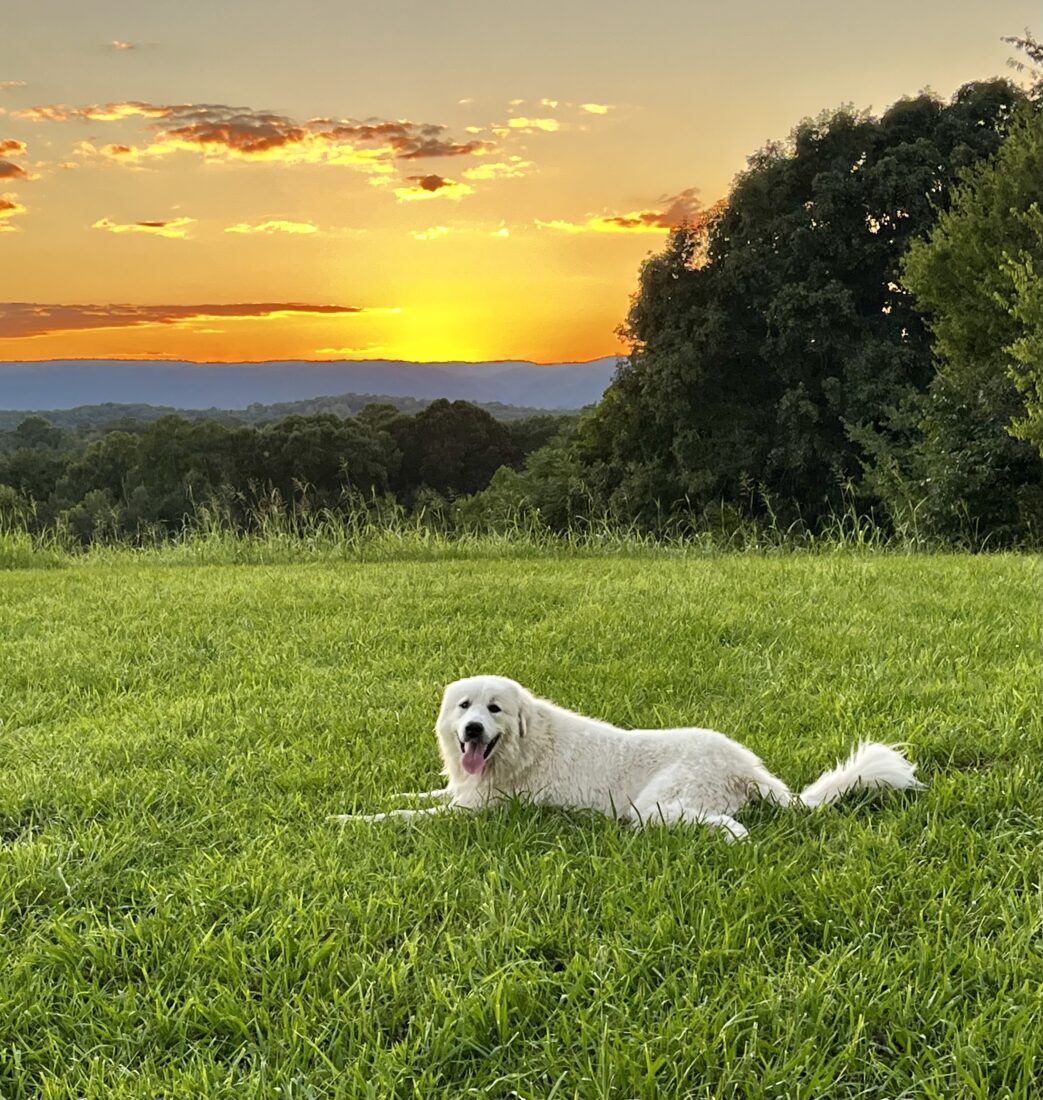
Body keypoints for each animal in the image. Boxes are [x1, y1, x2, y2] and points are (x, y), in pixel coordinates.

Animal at [332, 673, 919, 836]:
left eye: (495, 709)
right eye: (464, 706)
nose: (473, 729)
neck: (523, 748)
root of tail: (748, 767)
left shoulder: (478, 812)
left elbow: (403, 816)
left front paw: (349, 820)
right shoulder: (464, 792)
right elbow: (417, 794)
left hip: (655, 806)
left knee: (730, 827)